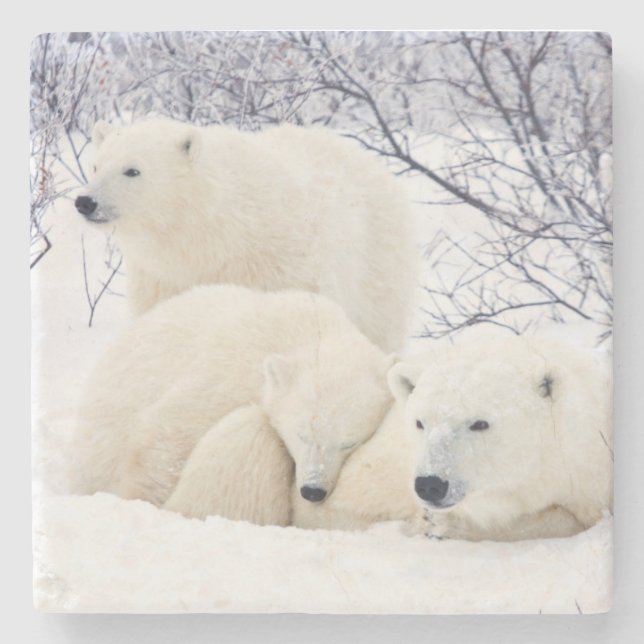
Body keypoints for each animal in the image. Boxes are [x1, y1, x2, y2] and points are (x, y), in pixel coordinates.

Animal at [72, 285, 395, 517]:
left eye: (349, 443)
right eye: (301, 434)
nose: (313, 490)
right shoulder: (229, 375)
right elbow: (171, 432)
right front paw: (142, 499)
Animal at [74, 117, 418, 352]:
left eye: (132, 170)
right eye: (96, 165)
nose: (85, 202)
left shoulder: (279, 268)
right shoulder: (164, 279)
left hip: (376, 261)